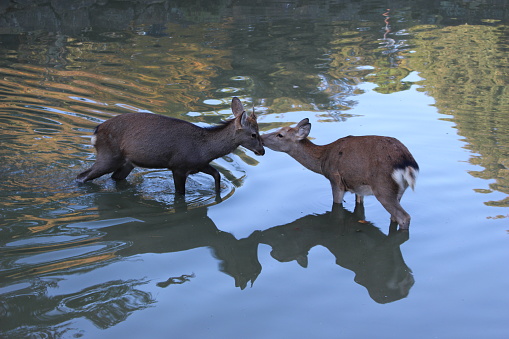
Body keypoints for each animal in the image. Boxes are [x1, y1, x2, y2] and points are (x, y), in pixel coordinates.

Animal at [78, 97, 266, 195]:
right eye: (254, 134)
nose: (262, 151)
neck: (205, 149)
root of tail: (95, 132)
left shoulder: (199, 165)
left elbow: (217, 174)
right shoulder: (178, 167)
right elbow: (180, 195)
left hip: (127, 163)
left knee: (115, 177)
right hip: (109, 156)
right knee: (82, 176)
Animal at [260, 119, 418, 231]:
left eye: (280, 134)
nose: (261, 137)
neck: (322, 161)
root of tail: (407, 163)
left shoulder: (335, 179)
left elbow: (336, 205)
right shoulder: (357, 186)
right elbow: (359, 205)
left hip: (383, 187)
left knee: (404, 217)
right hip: (398, 190)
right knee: (395, 216)